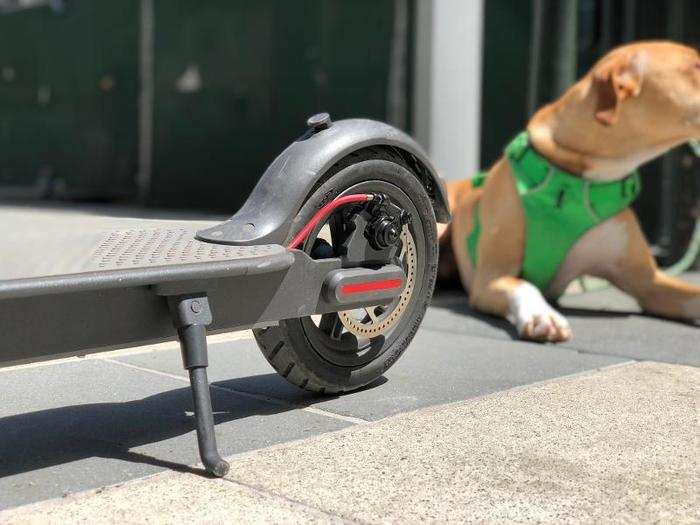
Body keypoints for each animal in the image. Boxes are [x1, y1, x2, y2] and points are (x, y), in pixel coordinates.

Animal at [442, 42, 700, 344]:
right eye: (695, 66)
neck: (576, 180)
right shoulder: (492, 276)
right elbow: (524, 285)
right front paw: (542, 315)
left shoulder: (649, 283)